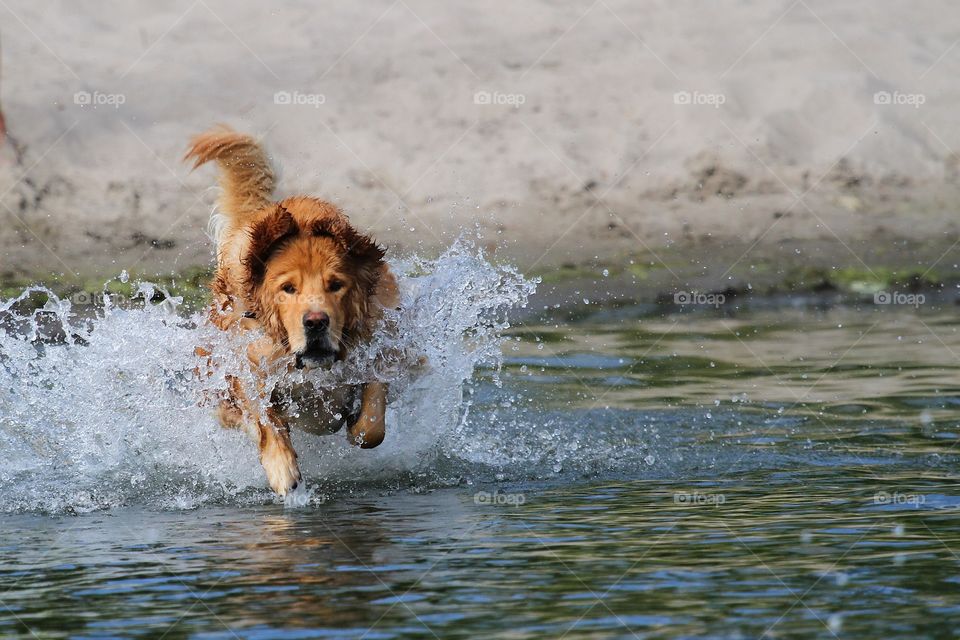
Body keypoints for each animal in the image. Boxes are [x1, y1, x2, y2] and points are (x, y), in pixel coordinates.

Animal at [186, 125, 400, 496]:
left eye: (335, 285)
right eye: (288, 288)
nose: (316, 322)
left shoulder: (379, 341)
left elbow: (372, 421)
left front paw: (355, 425)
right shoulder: (250, 367)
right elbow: (265, 420)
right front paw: (282, 469)